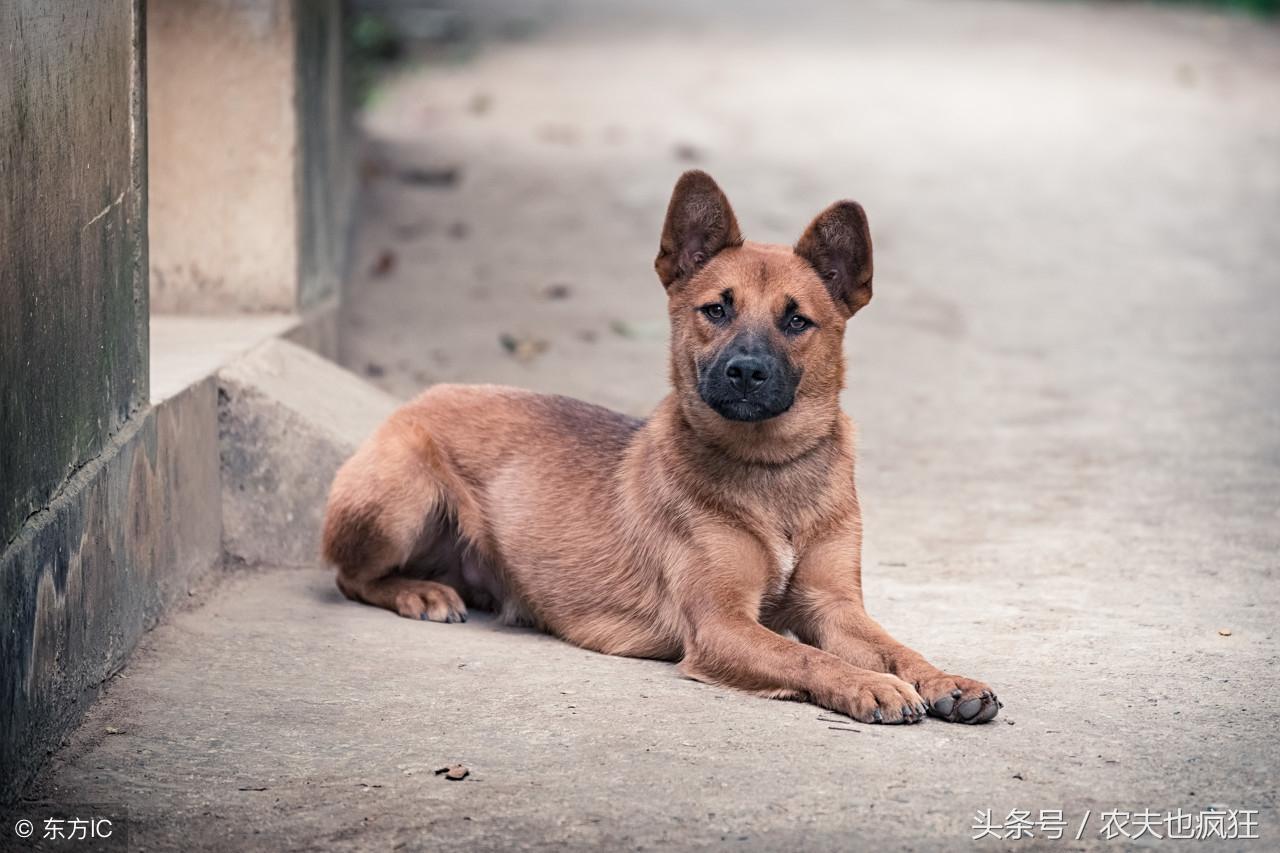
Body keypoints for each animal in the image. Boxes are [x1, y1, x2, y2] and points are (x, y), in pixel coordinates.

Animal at [322, 171, 998, 722]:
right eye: (716, 310)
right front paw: (868, 685)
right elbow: (807, 658)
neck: (770, 469)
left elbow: (896, 646)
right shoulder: (721, 625)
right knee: (349, 577)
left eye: (796, 321)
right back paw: (420, 592)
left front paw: (944, 679)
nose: (746, 372)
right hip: (400, 500)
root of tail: (414, 401)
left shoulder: (835, 608)